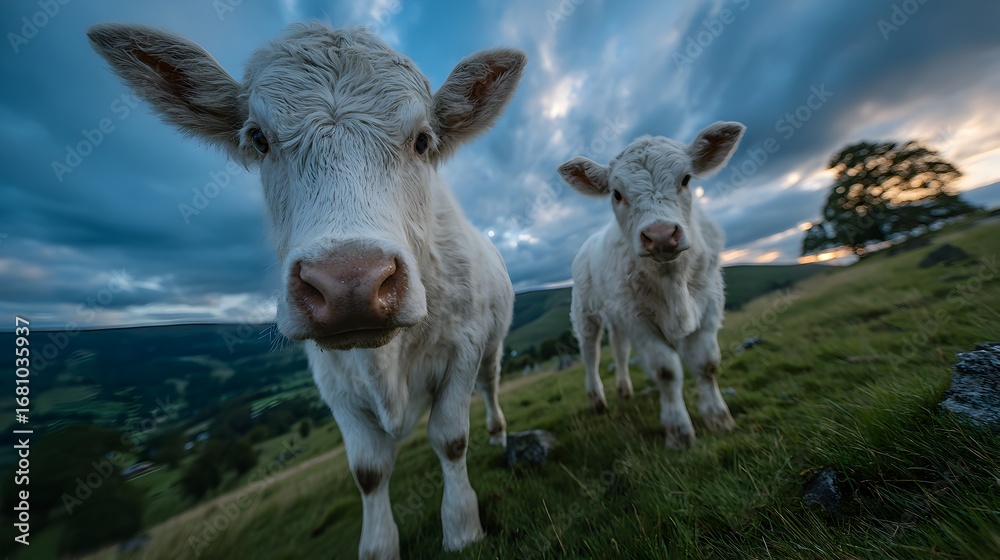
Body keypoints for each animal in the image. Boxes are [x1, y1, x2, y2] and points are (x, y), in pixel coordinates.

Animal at [88, 22, 525, 559]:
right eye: (258, 138)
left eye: (423, 140)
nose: (350, 281)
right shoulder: (332, 382)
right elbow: (368, 470)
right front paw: (378, 546)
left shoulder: (461, 349)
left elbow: (450, 440)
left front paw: (462, 527)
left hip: (491, 345)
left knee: (491, 384)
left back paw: (499, 435)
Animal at [557, 122, 745, 449]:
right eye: (616, 194)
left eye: (686, 179)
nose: (660, 235)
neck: (673, 282)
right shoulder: (639, 320)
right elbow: (666, 371)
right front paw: (678, 431)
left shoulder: (709, 305)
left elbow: (706, 364)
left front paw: (719, 418)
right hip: (585, 312)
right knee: (590, 354)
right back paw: (597, 400)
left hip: (616, 314)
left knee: (619, 351)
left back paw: (624, 390)